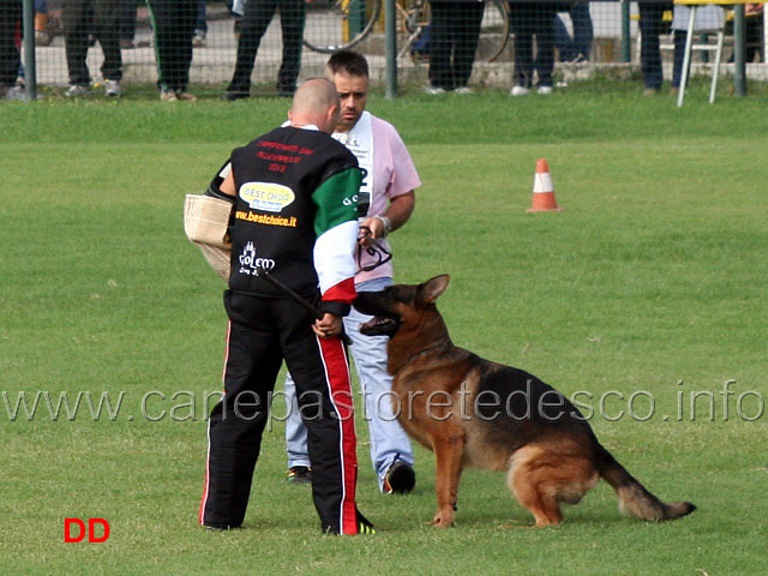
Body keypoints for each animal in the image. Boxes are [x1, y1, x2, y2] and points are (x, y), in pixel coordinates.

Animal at [354, 275, 696, 528]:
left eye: (387, 291)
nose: (351, 294)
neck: (424, 353)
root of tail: (598, 451)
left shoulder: (447, 441)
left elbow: (441, 486)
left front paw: (443, 524)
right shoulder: (453, 453)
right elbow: (449, 488)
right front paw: (444, 518)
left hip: (521, 464)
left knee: (551, 520)